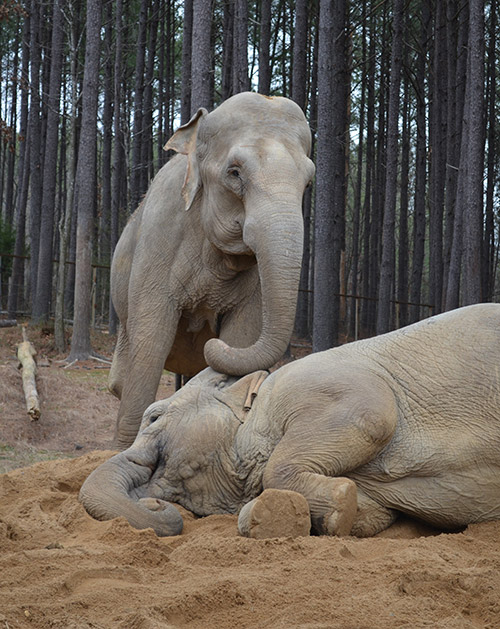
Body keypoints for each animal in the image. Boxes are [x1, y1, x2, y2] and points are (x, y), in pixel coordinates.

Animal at [80, 302, 500, 536]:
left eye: (153, 417)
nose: (155, 507)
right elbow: (373, 516)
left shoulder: (322, 383)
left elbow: (374, 416)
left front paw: (338, 502)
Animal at [110, 91, 312, 448]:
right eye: (234, 173)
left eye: (308, 183)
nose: (211, 343)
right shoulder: (157, 243)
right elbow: (151, 341)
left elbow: (242, 335)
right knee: (122, 378)